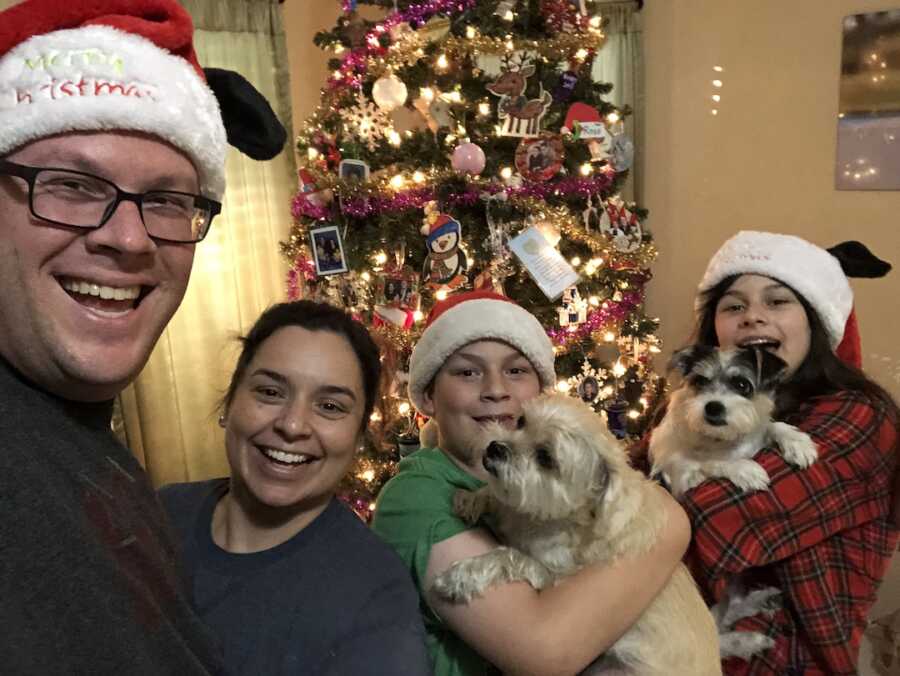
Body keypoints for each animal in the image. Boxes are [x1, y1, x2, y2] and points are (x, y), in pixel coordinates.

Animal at [432, 394, 720, 672]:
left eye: (545, 457)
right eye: (521, 422)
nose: (495, 446)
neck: (552, 518)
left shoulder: (553, 580)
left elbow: (510, 556)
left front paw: (460, 577)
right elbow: (496, 497)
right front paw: (472, 499)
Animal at [652, 346, 820, 664]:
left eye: (742, 384)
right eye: (700, 381)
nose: (712, 408)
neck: (724, 441)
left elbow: (771, 425)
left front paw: (797, 441)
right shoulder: (684, 479)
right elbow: (710, 462)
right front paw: (745, 469)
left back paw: (761, 602)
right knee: (712, 635)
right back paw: (747, 640)